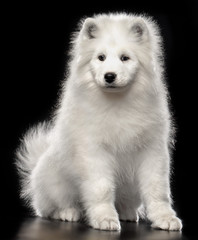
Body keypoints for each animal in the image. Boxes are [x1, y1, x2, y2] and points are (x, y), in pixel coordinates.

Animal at [16, 12, 183, 231]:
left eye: (124, 58)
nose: (109, 76)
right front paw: (105, 219)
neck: (118, 103)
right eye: (101, 57)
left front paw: (165, 218)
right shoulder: (94, 152)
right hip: (56, 183)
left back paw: (127, 213)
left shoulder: (152, 150)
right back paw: (69, 212)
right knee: (51, 207)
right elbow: (101, 188)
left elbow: (158, 189)